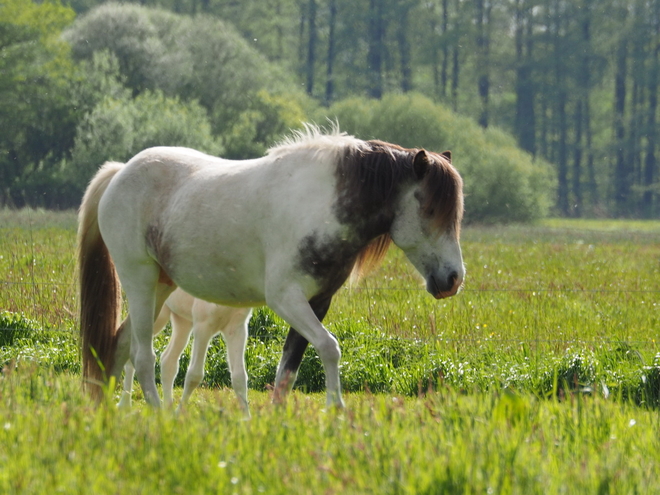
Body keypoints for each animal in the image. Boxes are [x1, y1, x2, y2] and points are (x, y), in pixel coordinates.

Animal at [117, 288, 251, 416]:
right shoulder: (203, 326)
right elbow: (194, 375)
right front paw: (179, 414)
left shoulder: (237, 328)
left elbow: (239, 376)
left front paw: (246, 418)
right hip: (156, 316)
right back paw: (125, 404)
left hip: (182, 321)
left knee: (168, 360)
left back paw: (167, 410)